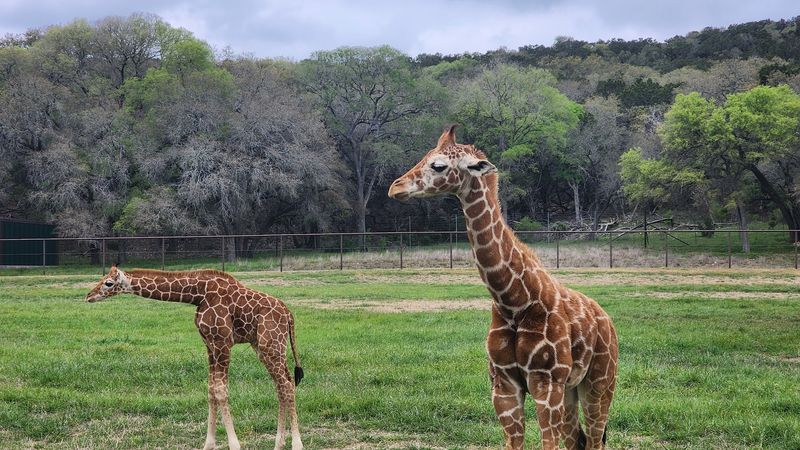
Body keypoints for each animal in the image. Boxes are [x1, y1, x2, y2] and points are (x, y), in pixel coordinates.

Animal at [85, 266, 304, 450]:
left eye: (108, 283)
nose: (88, 296)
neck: (197, 294)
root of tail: (289, 315)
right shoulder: (209, 345)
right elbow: (211, 390)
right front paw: (208, 445)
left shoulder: (223, 343)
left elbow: (221, 391)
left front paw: (234, 445)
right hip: (263, 346)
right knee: (283, 383)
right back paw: (279, 444)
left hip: (271, 345)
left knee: (285, 384)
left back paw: (297, 444)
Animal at [388, 125, 618, 450]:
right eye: (425, 156)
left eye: (438, 165)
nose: (395, 188)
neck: (514, 301)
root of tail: (607, 320)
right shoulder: (503, 384)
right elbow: (514, 443)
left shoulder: (546, 383)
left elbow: (548, 444)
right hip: (572, 390)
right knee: (579, 440)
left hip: (599, 382)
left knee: (596, 439)